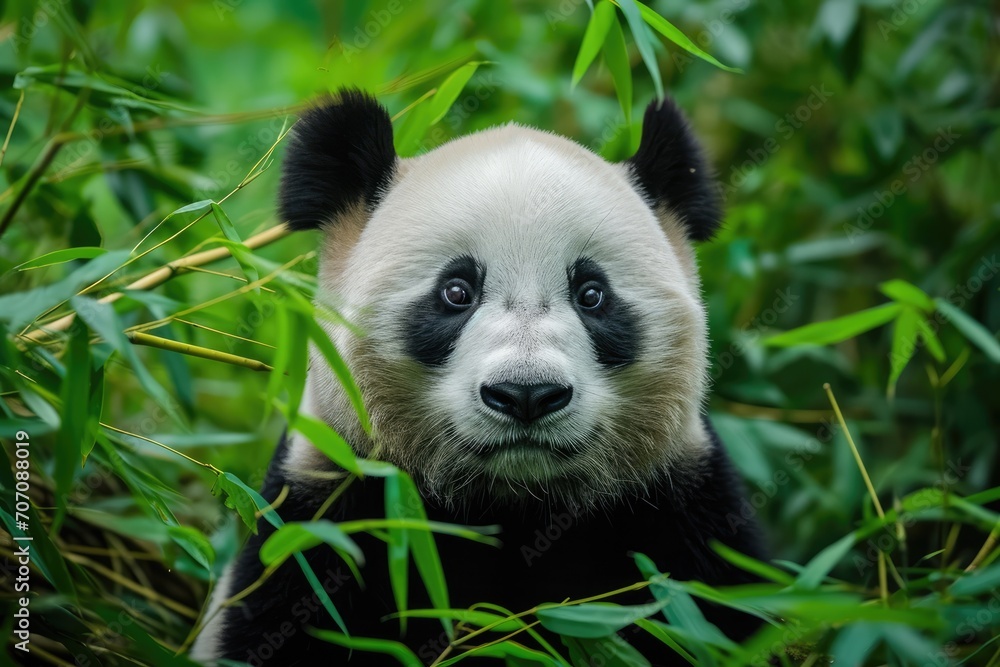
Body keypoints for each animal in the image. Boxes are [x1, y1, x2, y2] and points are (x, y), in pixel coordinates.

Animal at [192, 89, 765, 666]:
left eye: (592, 294)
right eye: (456, 291)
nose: (527, 394)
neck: (513, 504)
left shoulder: (680, 511)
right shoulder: (327, 508)